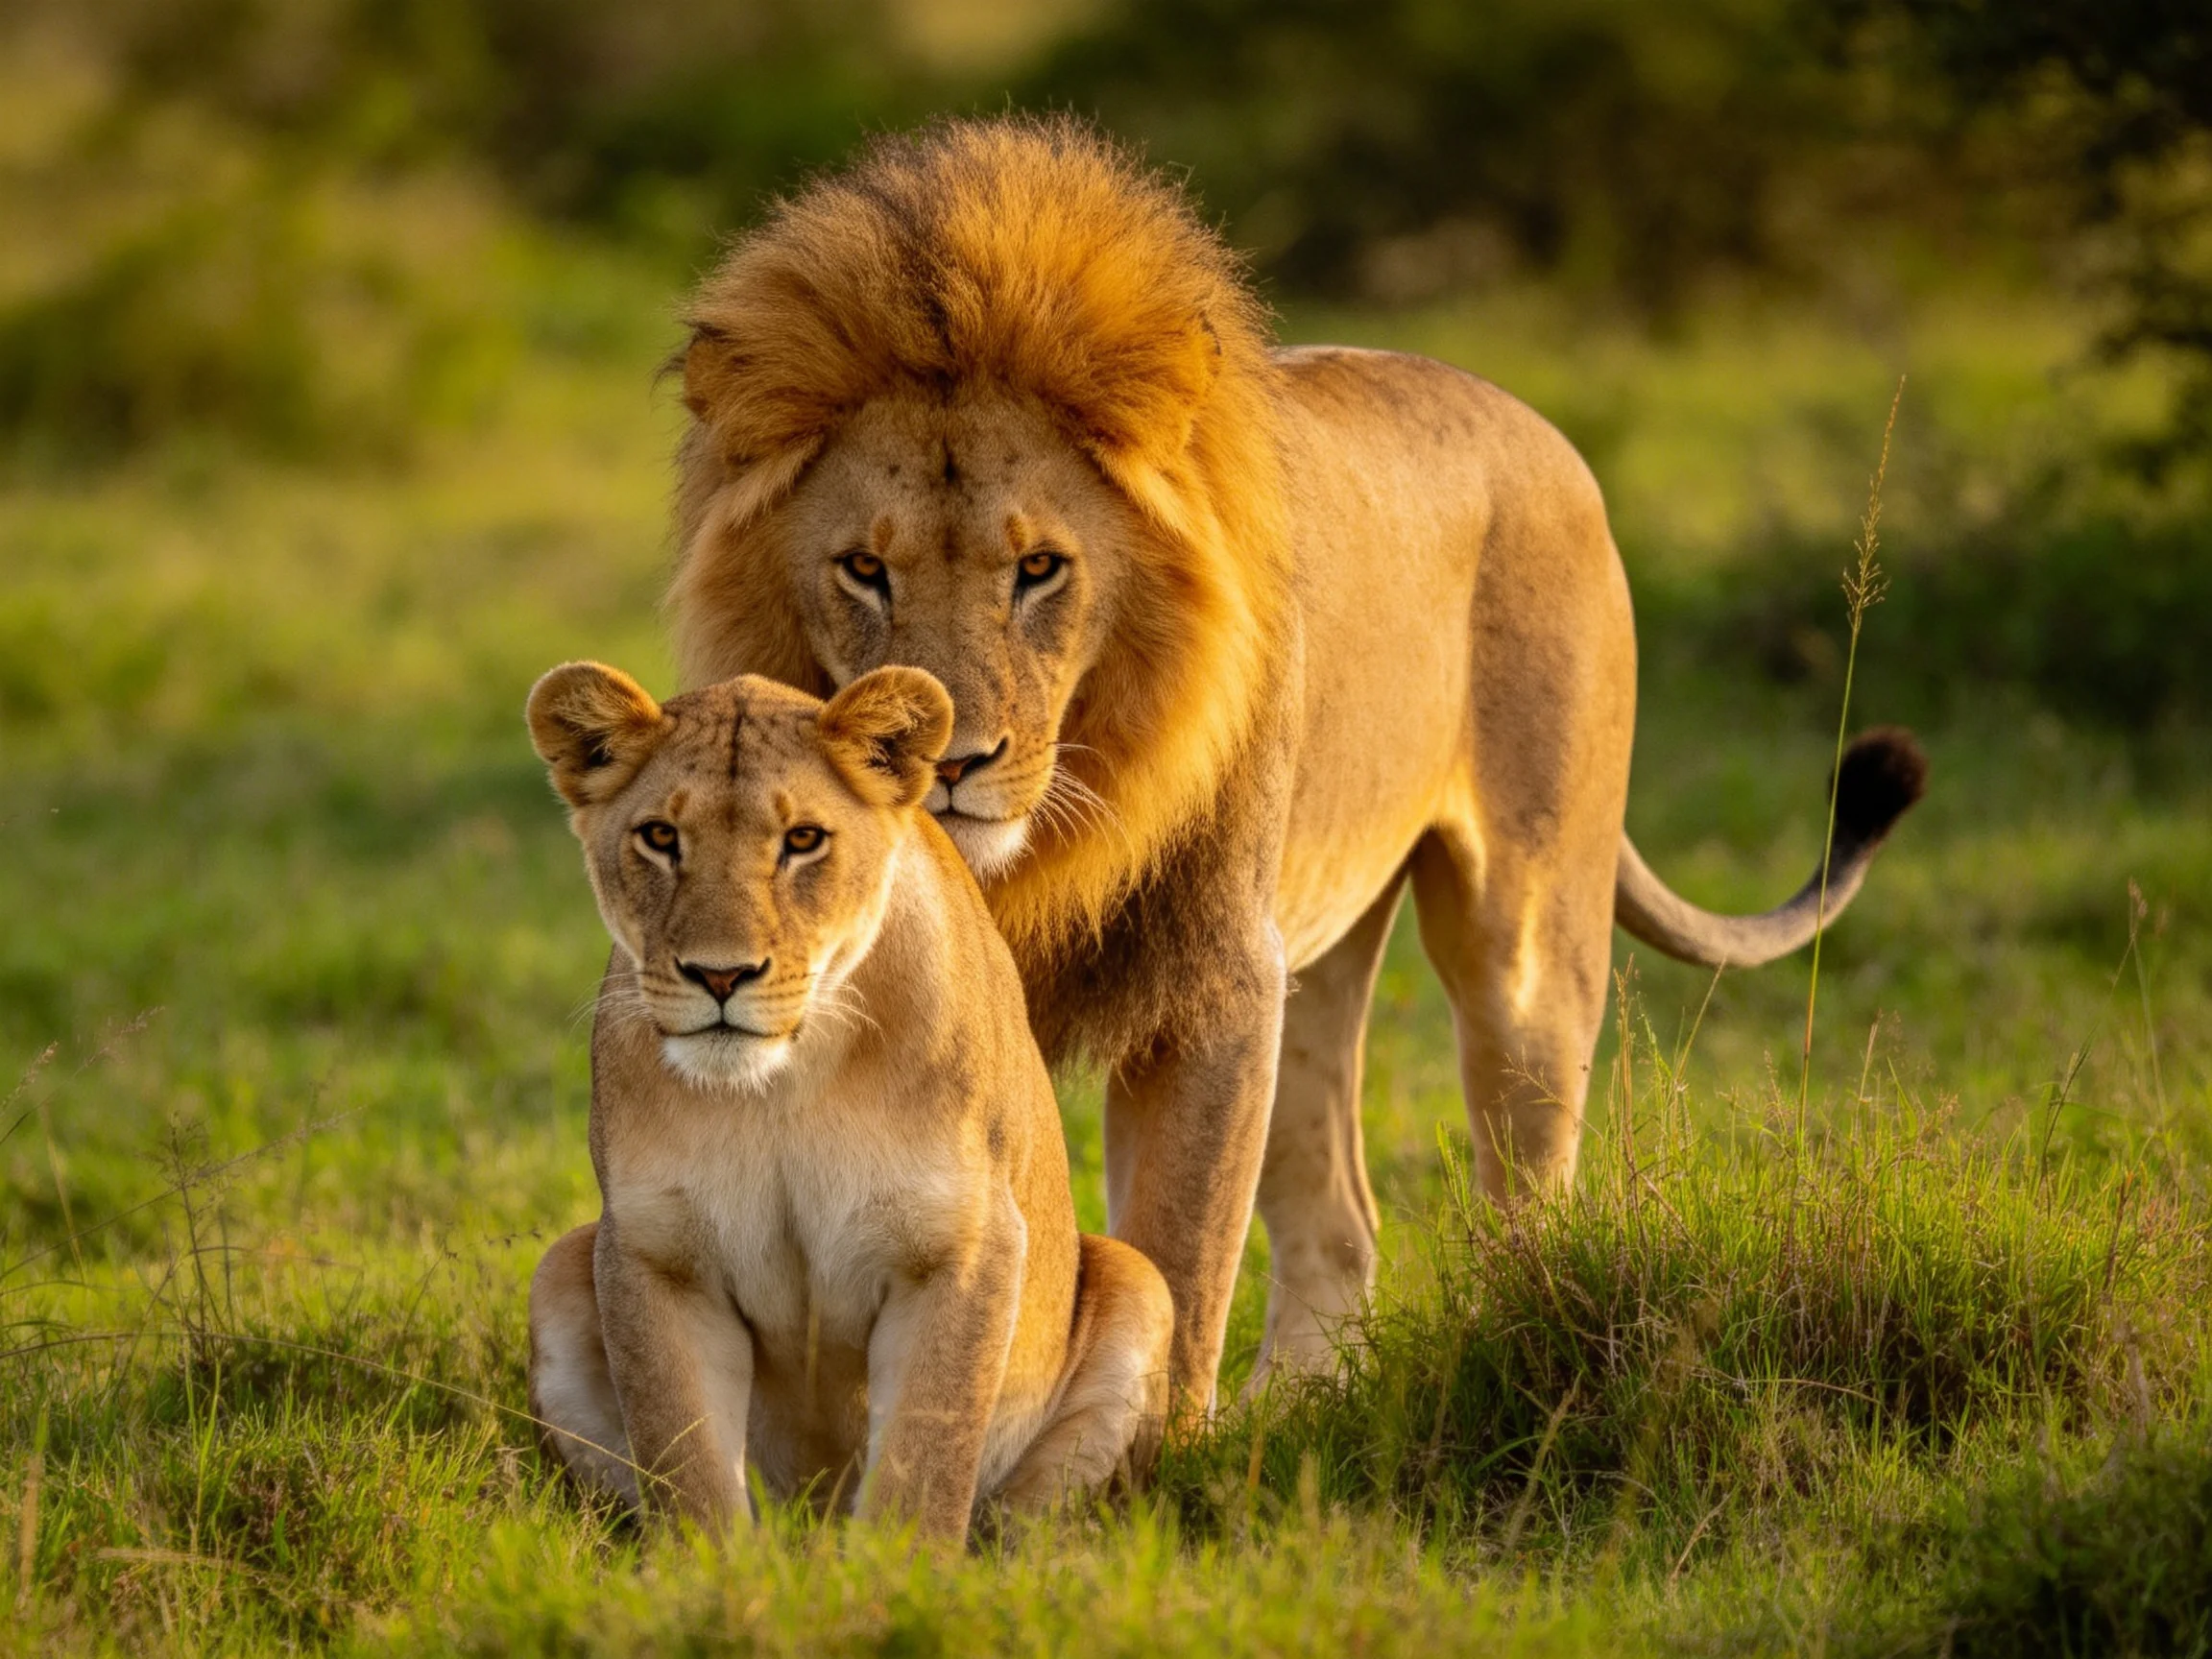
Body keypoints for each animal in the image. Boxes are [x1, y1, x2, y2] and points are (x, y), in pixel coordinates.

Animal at [523, 660, 1173, 1535]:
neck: (785, 1085)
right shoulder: (656, 1253)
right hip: (562, 1265)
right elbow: (688, 1469)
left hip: (1137, 1284)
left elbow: (923, 1461)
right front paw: (710, 1569)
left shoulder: (961, 1243)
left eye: (803, 841)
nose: (720, 976)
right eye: (660, 837)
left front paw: (895, 1571)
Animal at [665, 117, 1926, 1404]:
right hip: (1315, 966)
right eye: (865, 570)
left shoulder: (1214, 988)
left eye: (1040, 570)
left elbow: (1177, 1274)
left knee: (1528, 1187)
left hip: (1521, 944)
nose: (953, 762)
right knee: (1341, 1223)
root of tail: (1537, 428)